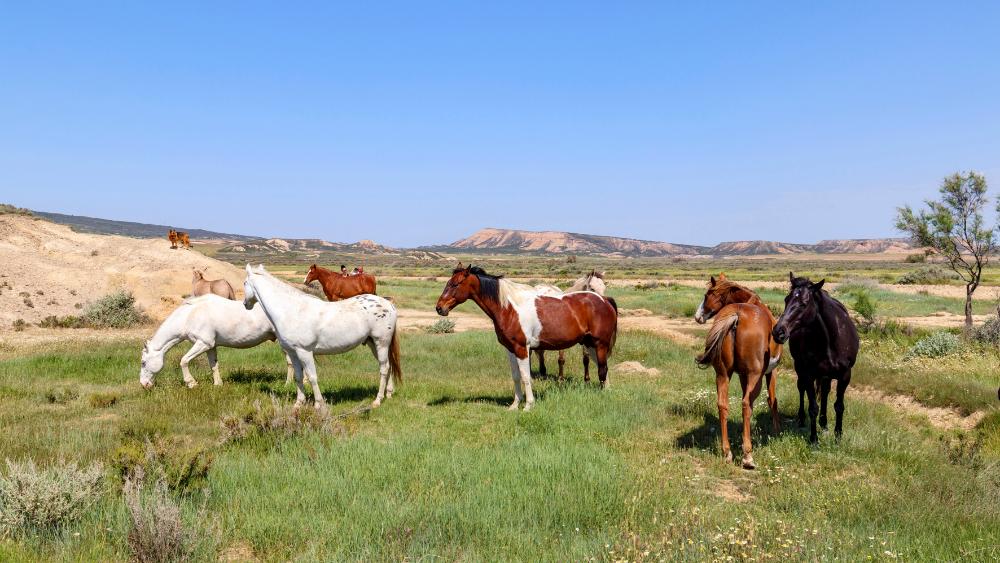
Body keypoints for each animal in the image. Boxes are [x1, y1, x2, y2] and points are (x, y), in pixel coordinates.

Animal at [139, 294, 293, 389]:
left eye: (143, 362)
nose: (144, 384)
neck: (189, 316)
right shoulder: (210, 346)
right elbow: (213, 365)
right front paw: (218, 384)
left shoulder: (203, 343)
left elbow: (183, 361)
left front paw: (191, 383)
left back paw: (288, 384)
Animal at [244, 264, 402, 409]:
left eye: (245, 283)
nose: (246, 304)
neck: (292, 310)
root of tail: (389, 304)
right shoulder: (293, 353)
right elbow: (298, 377)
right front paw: (298, 404)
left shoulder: (305, 352)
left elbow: (312, 377)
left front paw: (319, 404)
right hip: (373, 343)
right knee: (388, 366)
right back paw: (388, 393)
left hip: (381, 343)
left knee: (384, 368)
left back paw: (377, 400)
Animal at [435, 263, 618, 411]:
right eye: (447, 283)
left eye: (455, 284)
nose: (439, 308)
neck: (509, 308)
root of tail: (604, 300)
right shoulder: (510, 349)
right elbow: (516, 376)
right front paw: (515, 405)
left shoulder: (522, 348)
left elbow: (525, 376)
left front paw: (529, 405)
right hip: (590, 345)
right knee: (603, 368)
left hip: (600, 344)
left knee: (602, 370)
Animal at [694, 273, 782, 469]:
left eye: (706, 295)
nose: (697, 316)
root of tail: (737, 316)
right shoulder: (770, 373)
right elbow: (772, 400)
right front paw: (776, 432)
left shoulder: (742, 375)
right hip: (755, 377)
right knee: (746, 404)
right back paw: (747, 456)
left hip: (722, 374)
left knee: (722, 405)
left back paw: (727, 452)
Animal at [772, 273, 859, 442]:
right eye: (786, 299)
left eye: (804, 303)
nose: (778, 332)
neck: (831, 339)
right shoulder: (809, 373)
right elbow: (813, 407)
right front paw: (813, 439)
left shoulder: (845, 375)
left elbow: (839, 405)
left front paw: (838, 436)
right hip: (800, 368)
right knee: (801, 388)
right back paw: (801, 419)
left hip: (826, 374)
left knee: (825, 392)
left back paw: (824, 423)